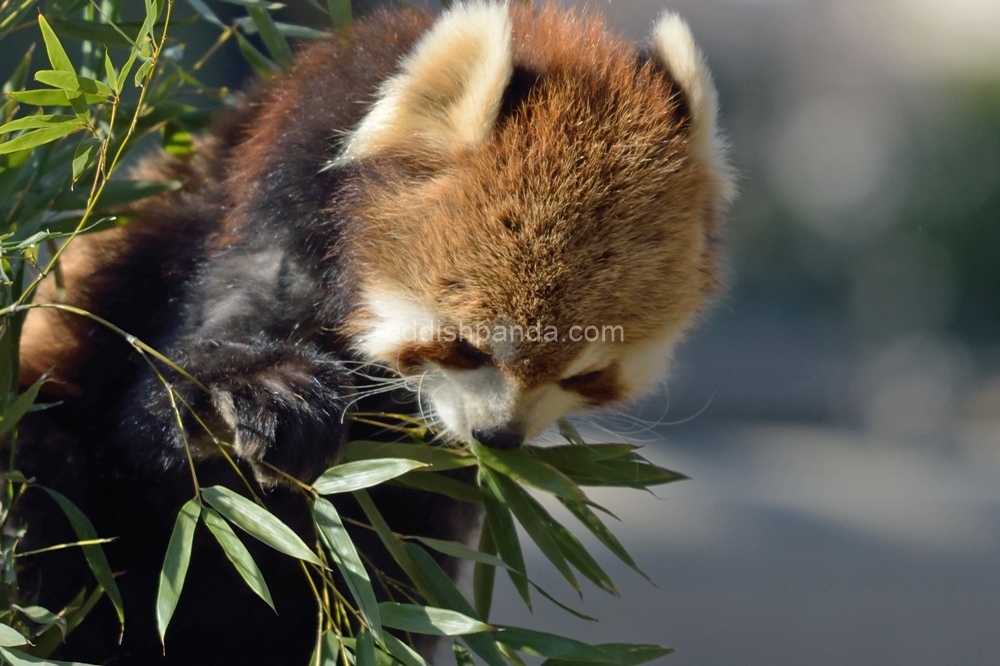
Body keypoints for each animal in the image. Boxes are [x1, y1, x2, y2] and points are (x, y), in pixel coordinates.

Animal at [13, 2, 736, 660]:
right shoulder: (265, 202)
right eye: (467, 347)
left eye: (585, 375)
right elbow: (156, 417)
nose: (497, 436)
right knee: (40, 461)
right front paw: (263, 392)